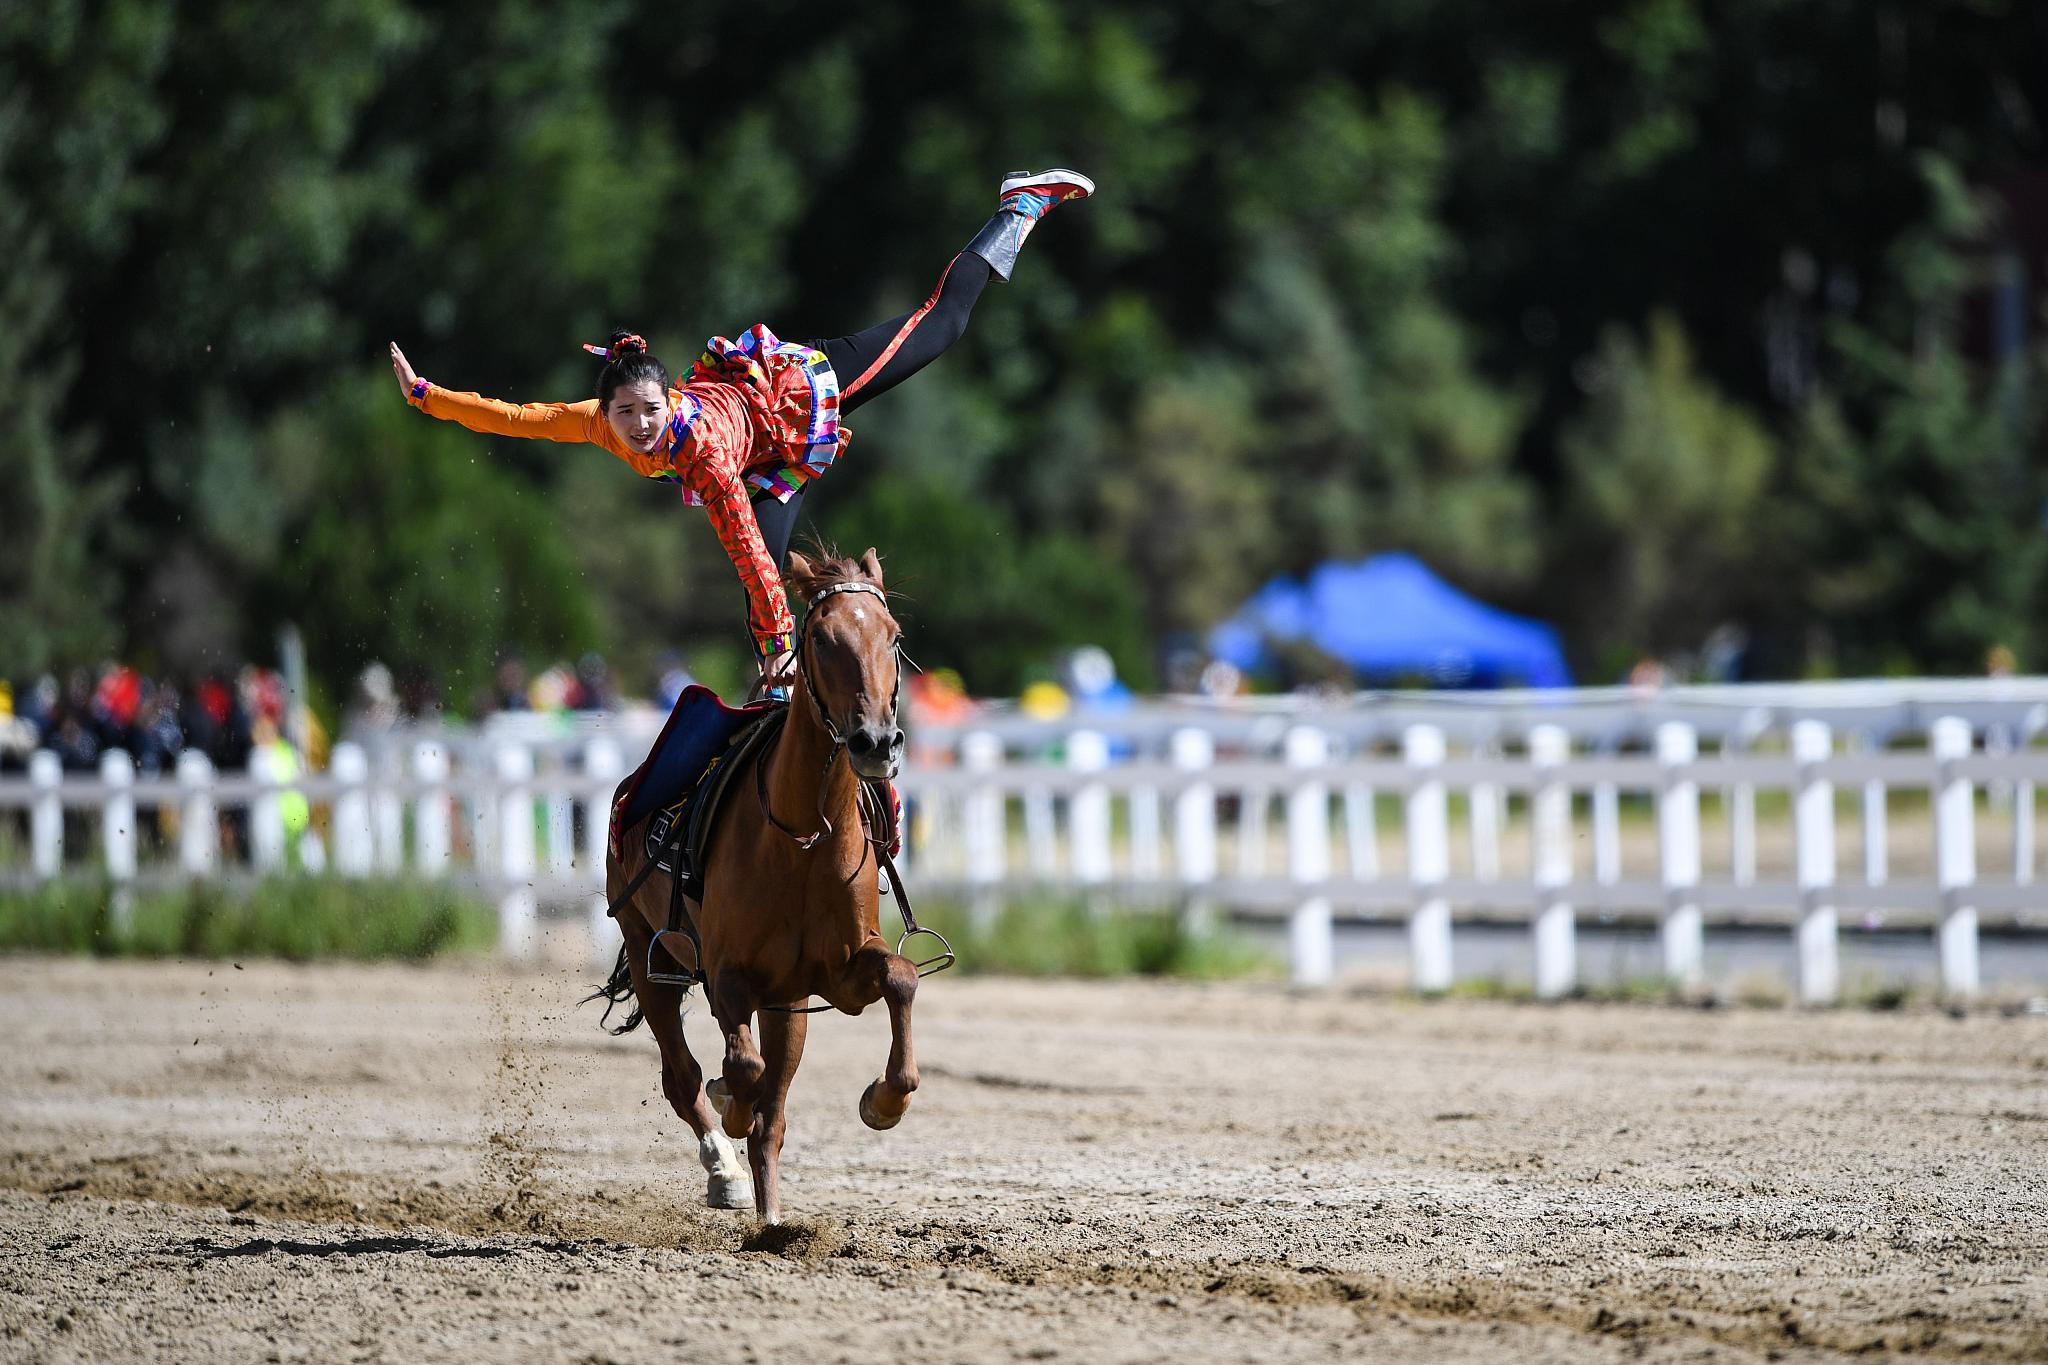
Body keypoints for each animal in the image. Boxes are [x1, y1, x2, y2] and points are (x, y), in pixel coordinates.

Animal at [598, 548, 921, 1219]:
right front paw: (731, 1104)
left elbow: (901, 979)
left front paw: (883, 1100)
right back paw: (725, 1169)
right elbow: (742, 1068)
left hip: (788, 1001)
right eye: (822, 637)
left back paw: (772, 1219)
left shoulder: (839, 971)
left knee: (772, 1114)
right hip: (648, 952)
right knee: (684, 1076)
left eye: (894, 638)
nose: (876, 742)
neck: (802, 839)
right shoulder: (727, 974)